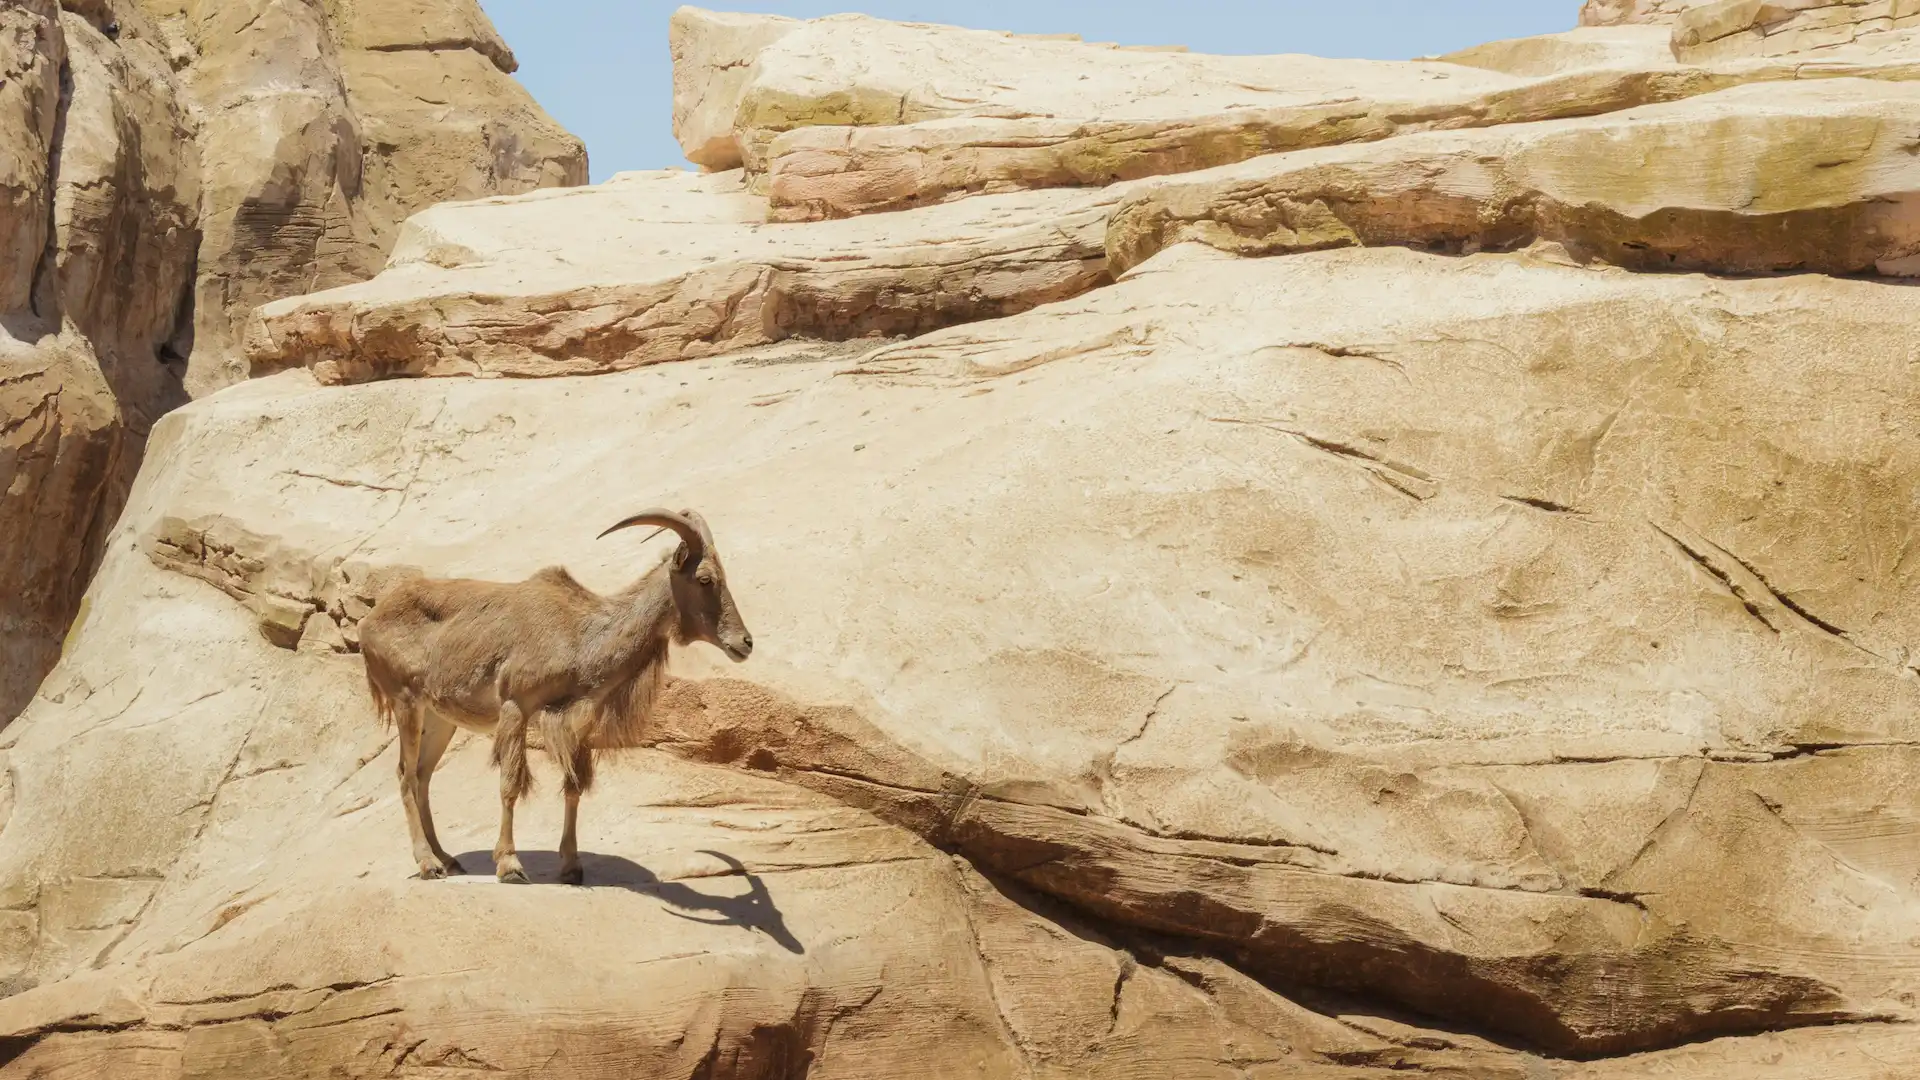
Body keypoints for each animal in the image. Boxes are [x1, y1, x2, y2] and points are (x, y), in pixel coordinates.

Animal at [359, 508, 753, 885]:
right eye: (705, 579)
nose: (745, 643)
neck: (580, 634)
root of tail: (369, 621)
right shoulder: (516, 706)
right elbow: (510, 784)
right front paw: (510, 865)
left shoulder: (577, 721)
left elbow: (573, 787)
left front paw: (571, 868)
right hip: (406, 702)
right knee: (405, 775)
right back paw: (428, 863)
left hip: (439, 718)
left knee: (423, 775)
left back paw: (447, 859)